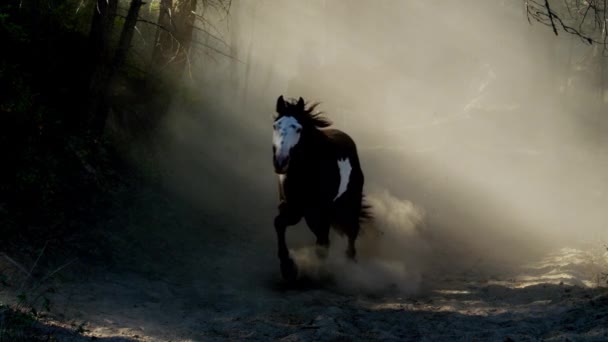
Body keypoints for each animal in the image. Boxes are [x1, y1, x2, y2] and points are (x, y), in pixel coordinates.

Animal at [272, 94, 370, 280]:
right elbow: (279, 224)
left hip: (348, 206)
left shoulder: (317, 212)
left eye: (298, 129)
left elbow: (323, 243)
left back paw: (349, 264)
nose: (280, 162)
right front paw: (288, 268)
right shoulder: (292, 208)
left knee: (350, 233)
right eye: (276, 125)